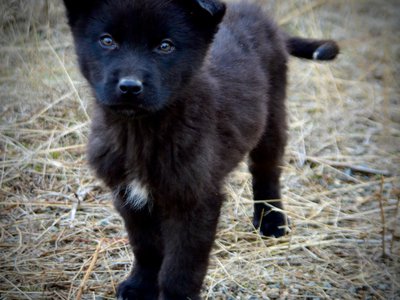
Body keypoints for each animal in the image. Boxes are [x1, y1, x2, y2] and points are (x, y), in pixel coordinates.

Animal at [62, 1, 338, 298]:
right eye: (107, 40)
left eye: (165, 46)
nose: (130, 87)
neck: (141, 132)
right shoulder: (128, 196)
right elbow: (146, 247)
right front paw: (140, 286)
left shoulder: (195, 200)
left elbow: (182, 265)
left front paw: (175, 296)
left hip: (272, 118)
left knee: (267, 173)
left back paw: (271, 221)